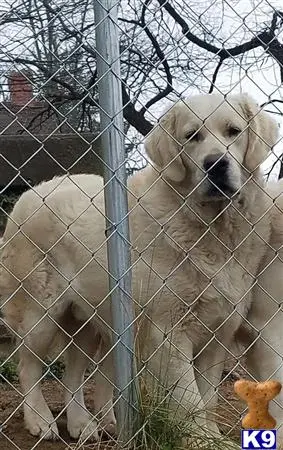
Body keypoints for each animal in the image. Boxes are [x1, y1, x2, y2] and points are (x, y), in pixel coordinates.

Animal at [0, 92, 282, 446]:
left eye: (234, 131)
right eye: (192, 136)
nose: (216, 164)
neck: (211, 229)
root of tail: (32, 191)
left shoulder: (218, 332)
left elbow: (206, 398)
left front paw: (211, 436)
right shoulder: (167, 332)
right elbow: (188, 398)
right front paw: (201, 440)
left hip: (93, 321)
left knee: (75, 371)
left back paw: (84, 424)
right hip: (40, 313)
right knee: (28, 366)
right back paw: (40, 420)